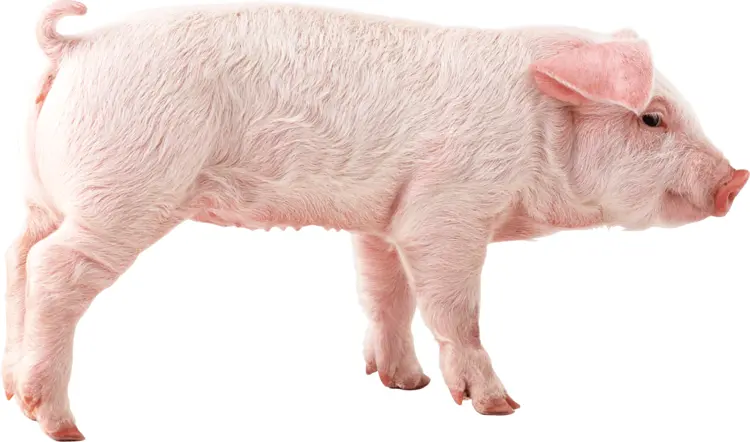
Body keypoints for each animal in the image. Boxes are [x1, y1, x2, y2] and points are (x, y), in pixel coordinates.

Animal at [3, 0, 748, 440]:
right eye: (652, 119)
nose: (736, 180)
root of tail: (76, 47)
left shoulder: (388, 217)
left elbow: (386, 294)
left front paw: (404, 385)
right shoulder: (447, 209)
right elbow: (455, 309)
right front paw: (501, 408)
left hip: (46, 196)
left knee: (19, 258)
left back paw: (12, 394)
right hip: (126, 186)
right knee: (55, 268)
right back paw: (62, 425)